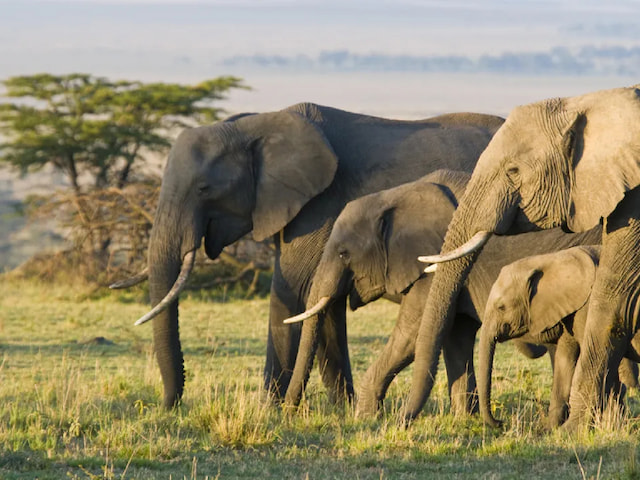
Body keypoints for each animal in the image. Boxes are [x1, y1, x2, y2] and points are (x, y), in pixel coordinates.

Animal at [116, 102, 505, 408]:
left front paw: (269, 411)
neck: (254, 126)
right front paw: (341, 409)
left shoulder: (319, 205)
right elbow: (323, 303)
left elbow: (294, 290)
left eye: (203, 188)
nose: (168, 405)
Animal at [284, 169, 602, 416]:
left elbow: (411, 336)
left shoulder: (433, 265)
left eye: (343, 253)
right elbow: (455, 336)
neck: (396, 195)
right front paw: (465, 420)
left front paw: (366, 418)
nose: (290, 412)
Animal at [478, 245, 639, 428]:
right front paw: (550, 429)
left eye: (501, 307)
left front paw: (610, 426)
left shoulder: (588, 307)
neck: (549, 260)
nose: (500, 422)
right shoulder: (569, 311)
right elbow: (565, 359)